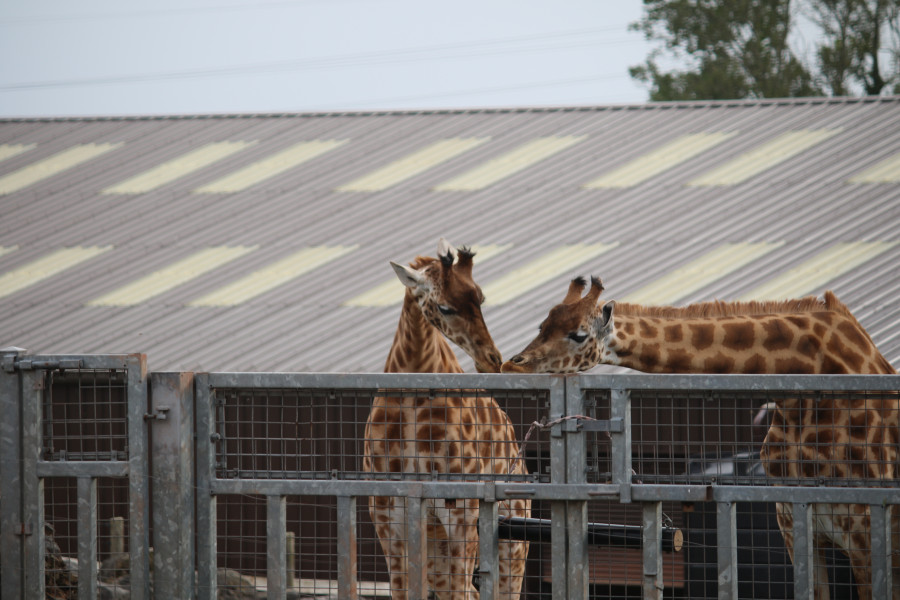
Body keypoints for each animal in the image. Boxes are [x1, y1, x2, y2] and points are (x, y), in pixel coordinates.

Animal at [364, 240, 532, 600]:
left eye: (480, 297)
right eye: (444, 307)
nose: (492, 360)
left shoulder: (461, 513)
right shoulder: (389, 517)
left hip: (512, 535)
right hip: (436, 545)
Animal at [502, 276, 896, 600]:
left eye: (579, 334)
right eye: (542, 325)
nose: (510, 365)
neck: (806, 387)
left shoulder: (865, 529)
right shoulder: (795, 522)